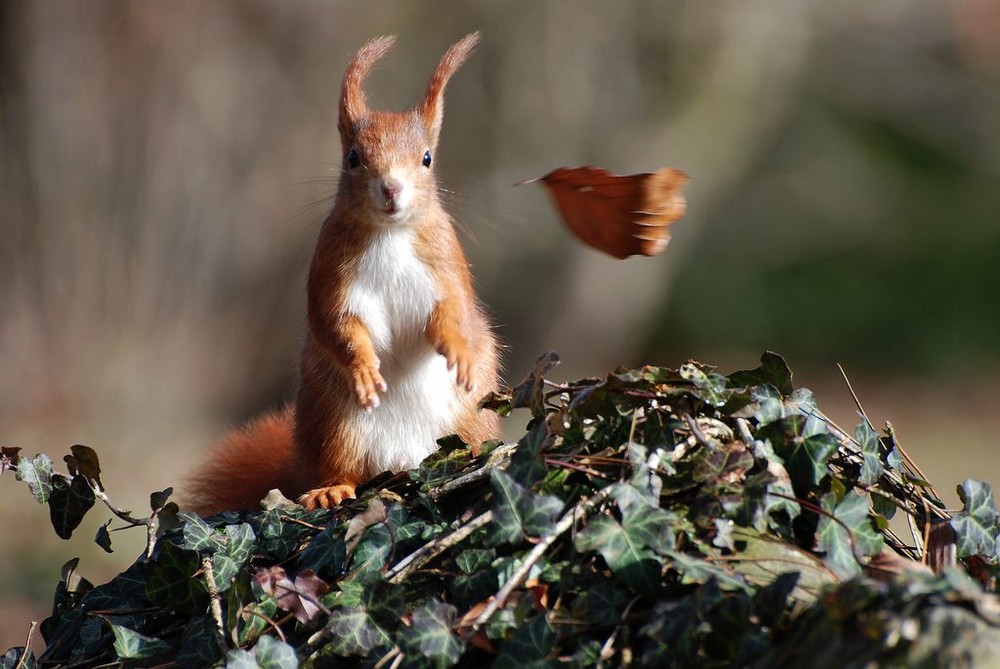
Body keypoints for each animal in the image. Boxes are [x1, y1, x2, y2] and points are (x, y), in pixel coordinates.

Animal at [186, 34, 498, 516]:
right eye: (353, 157)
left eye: (427, 159)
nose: (391, 188)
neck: (390, 234)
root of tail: (403, 462)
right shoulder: (331, 275)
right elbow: (335, 324)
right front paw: (363, 367)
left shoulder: (446, 265)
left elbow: (454, 311)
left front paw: (457, 349)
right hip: (335, 423)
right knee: (342, 469)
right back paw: (329, 489)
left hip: (469, 416)